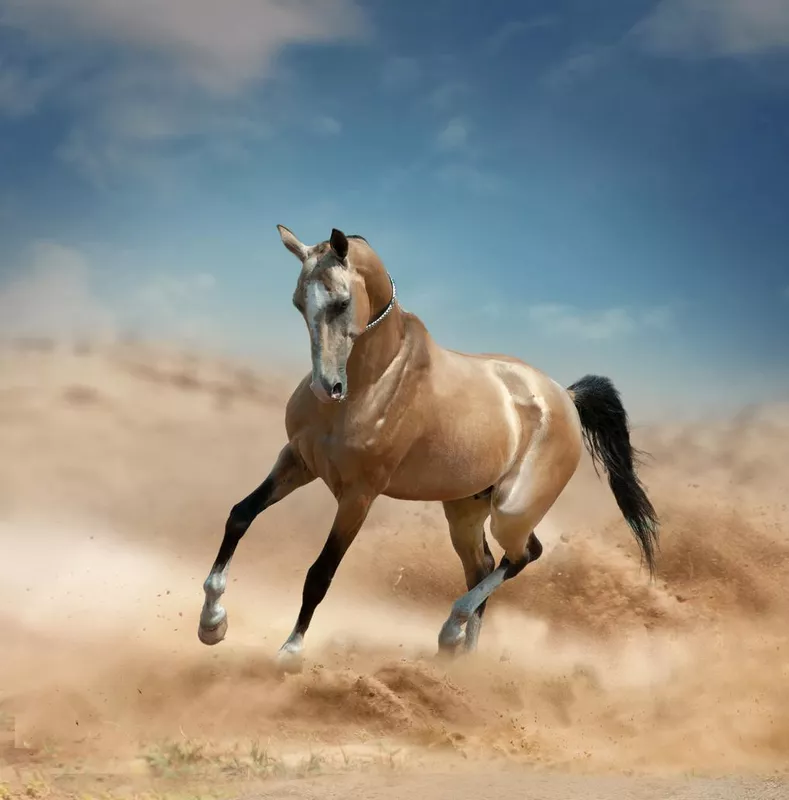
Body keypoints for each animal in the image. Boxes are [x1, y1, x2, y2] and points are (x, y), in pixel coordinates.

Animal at [197, 225, 660, 668]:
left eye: (342, 302)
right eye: (298, 302)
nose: (326, 388)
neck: (376, 379)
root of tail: (566, 396)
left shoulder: (359, 495)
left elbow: (321, 573)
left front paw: (289, 652)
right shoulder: (297, 461)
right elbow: (240, 516)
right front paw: (212, 624)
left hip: (511, 511)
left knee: (523, 554)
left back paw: (452, 631)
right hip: (464, 509)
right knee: (483, 565)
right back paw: (462, 660)